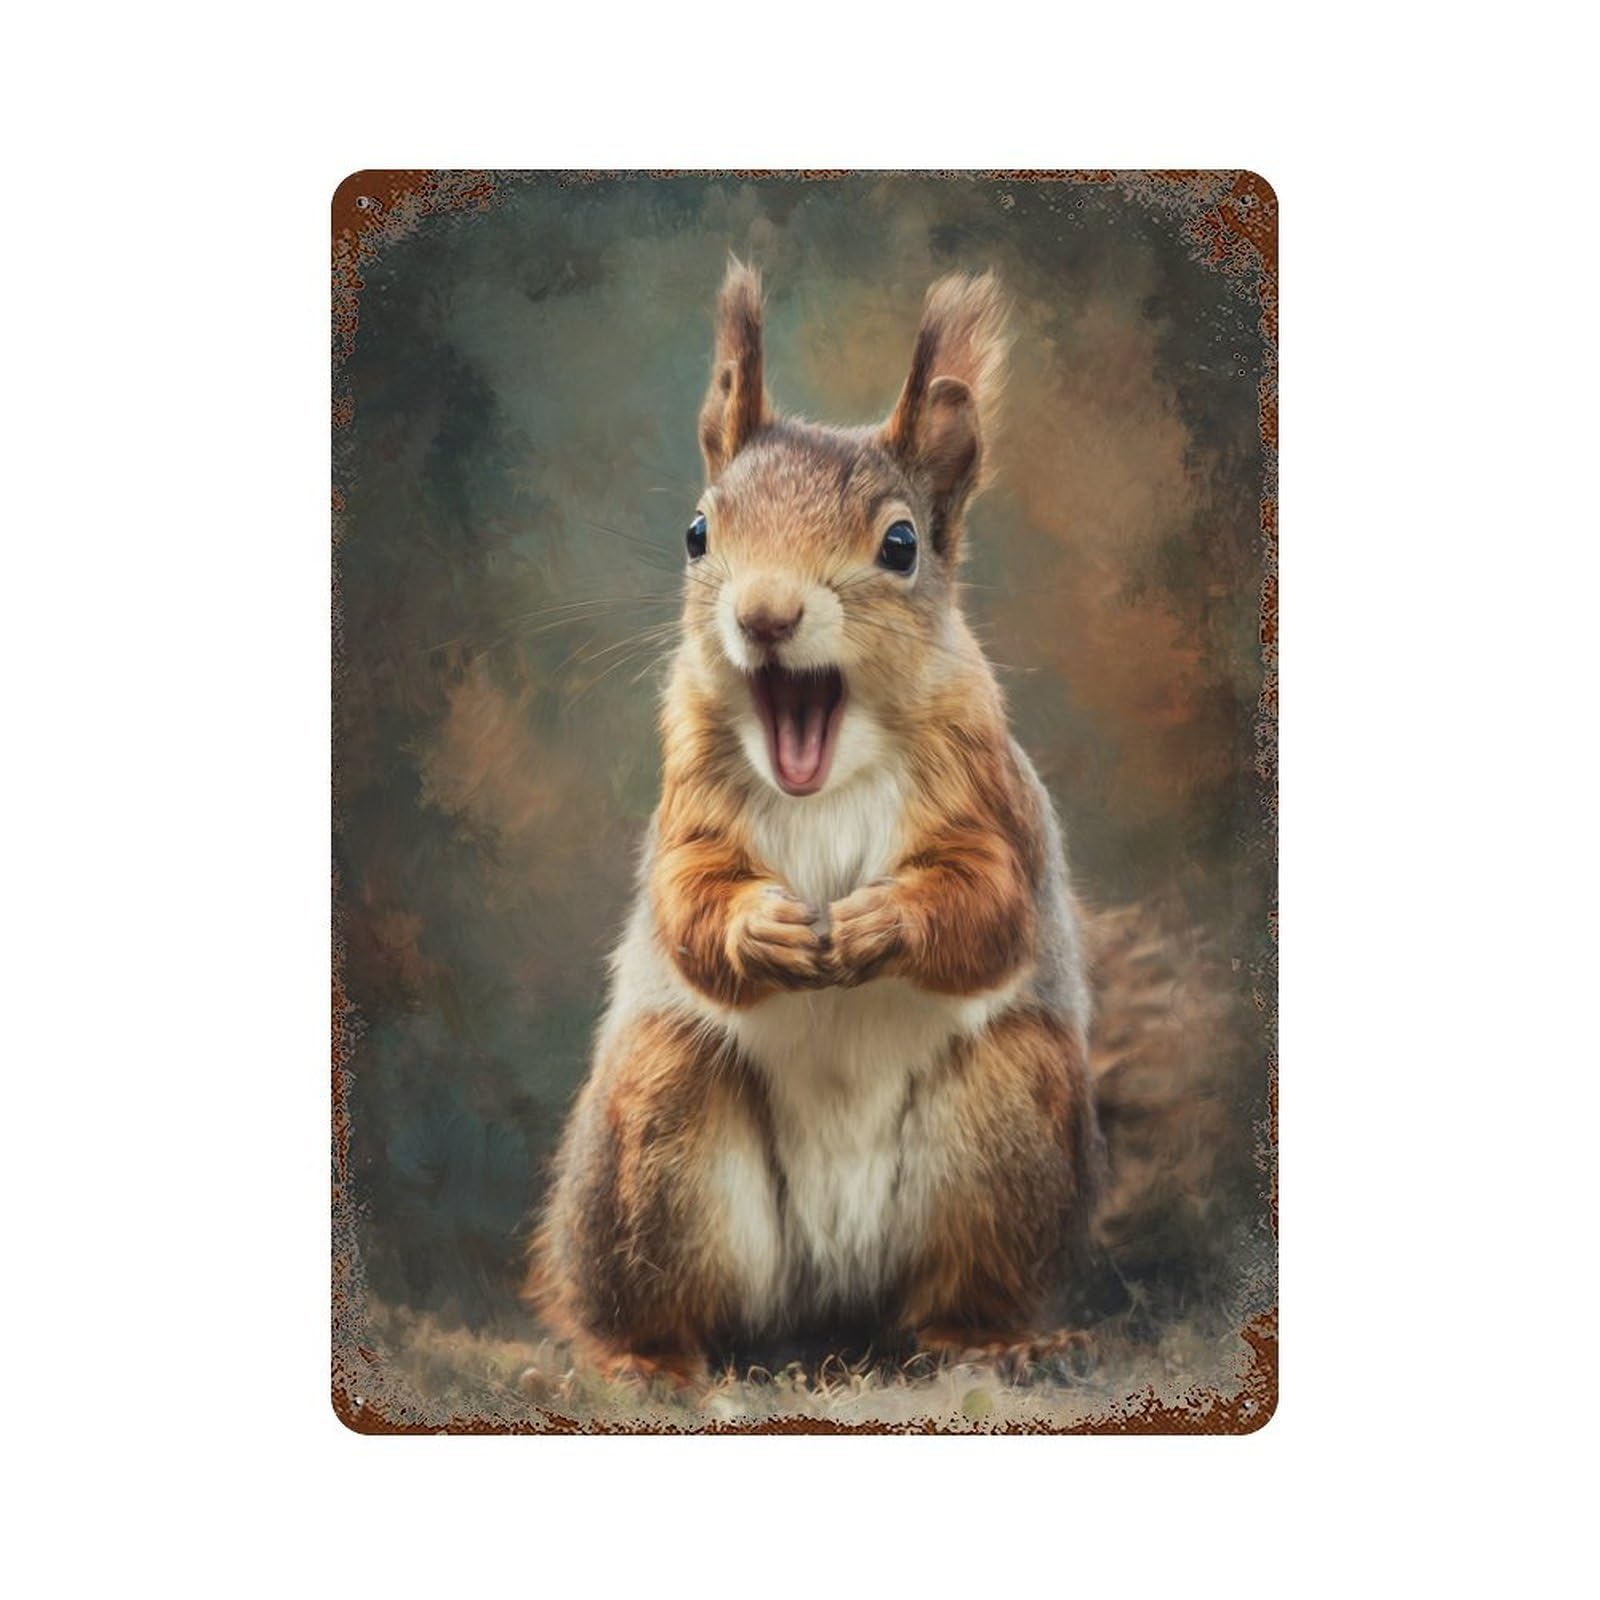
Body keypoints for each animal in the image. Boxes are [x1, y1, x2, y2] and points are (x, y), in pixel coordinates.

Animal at [527, 260, 1116, 1383]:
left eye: (902, 545)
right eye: (697, 533)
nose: (765, 614)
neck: (827, 775)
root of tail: (833, 1301)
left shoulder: (990, 796)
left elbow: (992, 904)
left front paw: (884, 921)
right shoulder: (689, 798)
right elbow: (686, 900)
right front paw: (762, 927)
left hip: (1006, 1115)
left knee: (957, 1286)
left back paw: (989, 1338)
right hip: (653, 1134)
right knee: (655, 1298)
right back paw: (643, 1357)